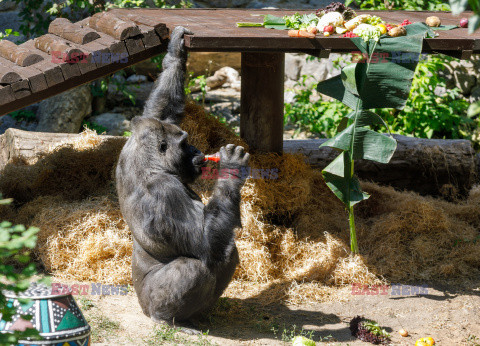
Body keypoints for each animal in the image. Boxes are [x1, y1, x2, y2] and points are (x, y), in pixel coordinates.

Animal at [115, 25, 249, 326]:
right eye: (186, 143)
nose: (198, 150)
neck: (151, 164)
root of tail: (142, 307)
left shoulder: (137, 136)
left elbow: (159, 108)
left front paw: (176, 52)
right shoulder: (165, 191)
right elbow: (204, 243)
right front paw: (231, 168)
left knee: (227, 251)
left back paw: (197, 316)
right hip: (148, 302)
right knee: (194, 266)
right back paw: (166, 318)